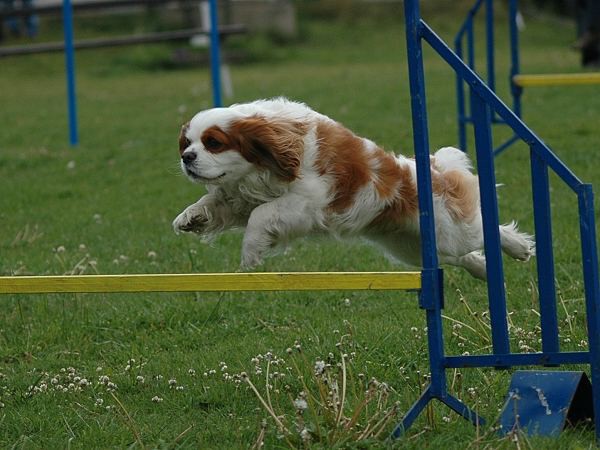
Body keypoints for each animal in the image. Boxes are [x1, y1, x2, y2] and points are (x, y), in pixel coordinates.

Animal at [173, 97, 536, 278]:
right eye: (187, 143)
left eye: (214, 143)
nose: (187, 158)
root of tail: (433, 173)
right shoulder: (240, 195)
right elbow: (217, 202)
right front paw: (191, 217)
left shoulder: (306, 200)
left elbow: (260, 216)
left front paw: (250, 255)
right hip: (414, 247)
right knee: (461, 257)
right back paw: (484, 271)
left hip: (449, 232)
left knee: (488, 231)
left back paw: (519, 248)